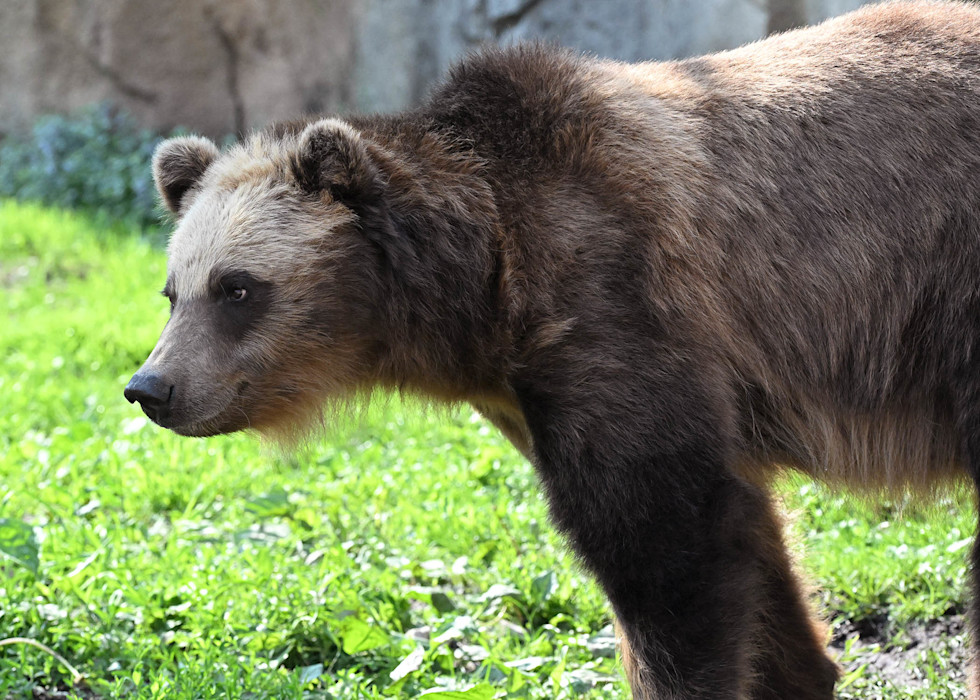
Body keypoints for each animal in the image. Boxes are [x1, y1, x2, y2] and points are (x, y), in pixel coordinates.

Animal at [125, 1, 980, 697]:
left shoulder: (616, 304)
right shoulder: (547, 388)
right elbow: (746, 544)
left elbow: (665, 541)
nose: (152, 387)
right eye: (173, 290)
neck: (488, 289)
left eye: (237, 288)